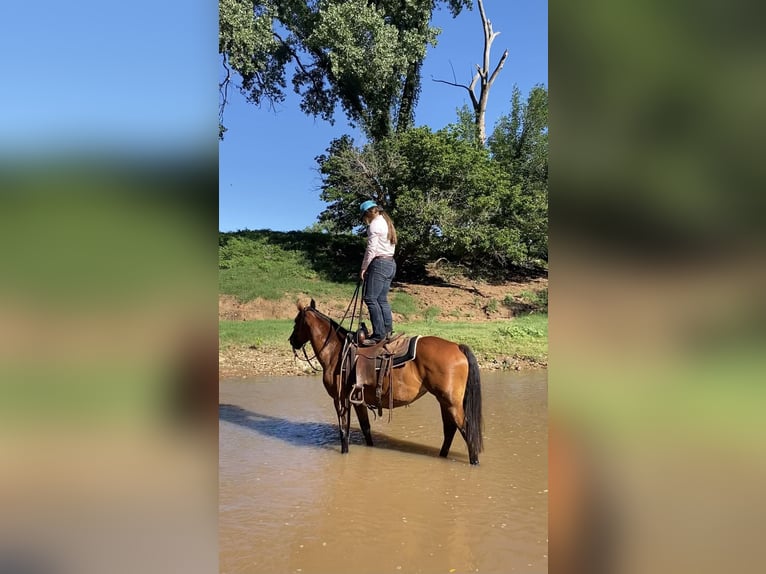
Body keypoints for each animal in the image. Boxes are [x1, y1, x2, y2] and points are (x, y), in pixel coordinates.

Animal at [288, 300, 486, 466]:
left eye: (296, 321)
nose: (292, 341)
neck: (336, 352)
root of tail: (457, 346)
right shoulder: (357, 400)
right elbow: (366, 428)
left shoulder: (339, 399)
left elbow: (344, 430)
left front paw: (344, 452)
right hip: (444, 401)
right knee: (450, 429)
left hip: (451, 402)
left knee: (465, 429)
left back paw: (474, 461)